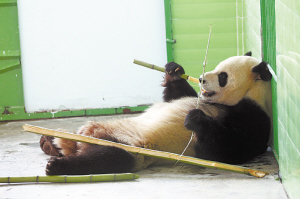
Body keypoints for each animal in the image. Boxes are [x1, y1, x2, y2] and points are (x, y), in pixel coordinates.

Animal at [39, 52, 272, 175]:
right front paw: (174, 70)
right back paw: (48, 142)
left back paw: (57, 165)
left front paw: (194, 118)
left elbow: (224, 150)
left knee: (106, 158)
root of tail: (86, 139)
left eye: (223, 76)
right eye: (217, 67)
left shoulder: (254, 117)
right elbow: (176, 96)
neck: (250, 95)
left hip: (133, 147)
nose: (201, 79)